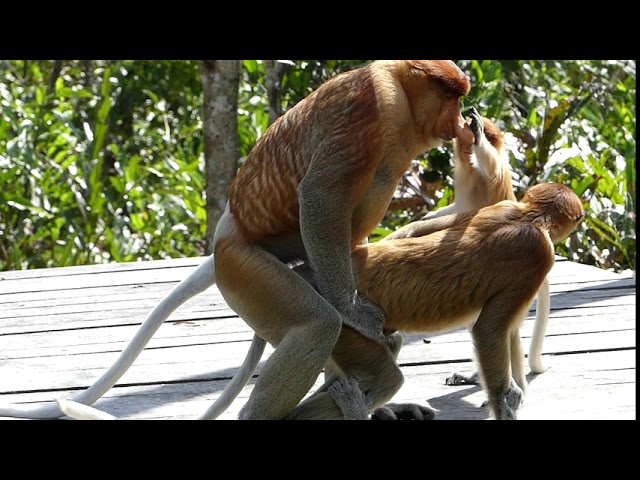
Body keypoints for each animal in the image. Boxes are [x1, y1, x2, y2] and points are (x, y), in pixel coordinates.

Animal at [0, 60, 473, 420]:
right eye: (452, 97)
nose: (461, 121)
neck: (401, 96)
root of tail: (227, 235)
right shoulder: (370, 106)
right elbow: (320, 196)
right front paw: (355, 310)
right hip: (245, 270)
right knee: (315, 325)